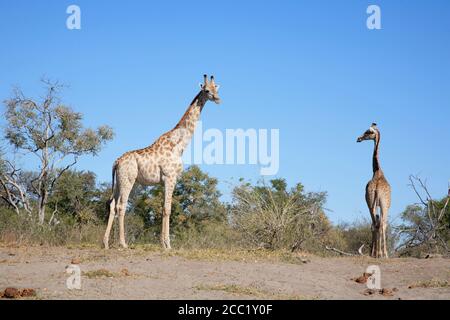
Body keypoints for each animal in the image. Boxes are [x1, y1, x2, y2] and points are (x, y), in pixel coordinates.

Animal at [356, 122, 392, 258]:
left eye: (369, 132)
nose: (358, 138)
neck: (377, 171)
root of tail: (376, 189)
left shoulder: (373, 203)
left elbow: (375, 224)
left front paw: (375, 252)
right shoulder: (384, 205)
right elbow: (383, 224)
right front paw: (382, 253)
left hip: (370, 203)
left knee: (375, 224)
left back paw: (375, 253)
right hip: (384, 205)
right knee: (382, 224)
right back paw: (383, 253)